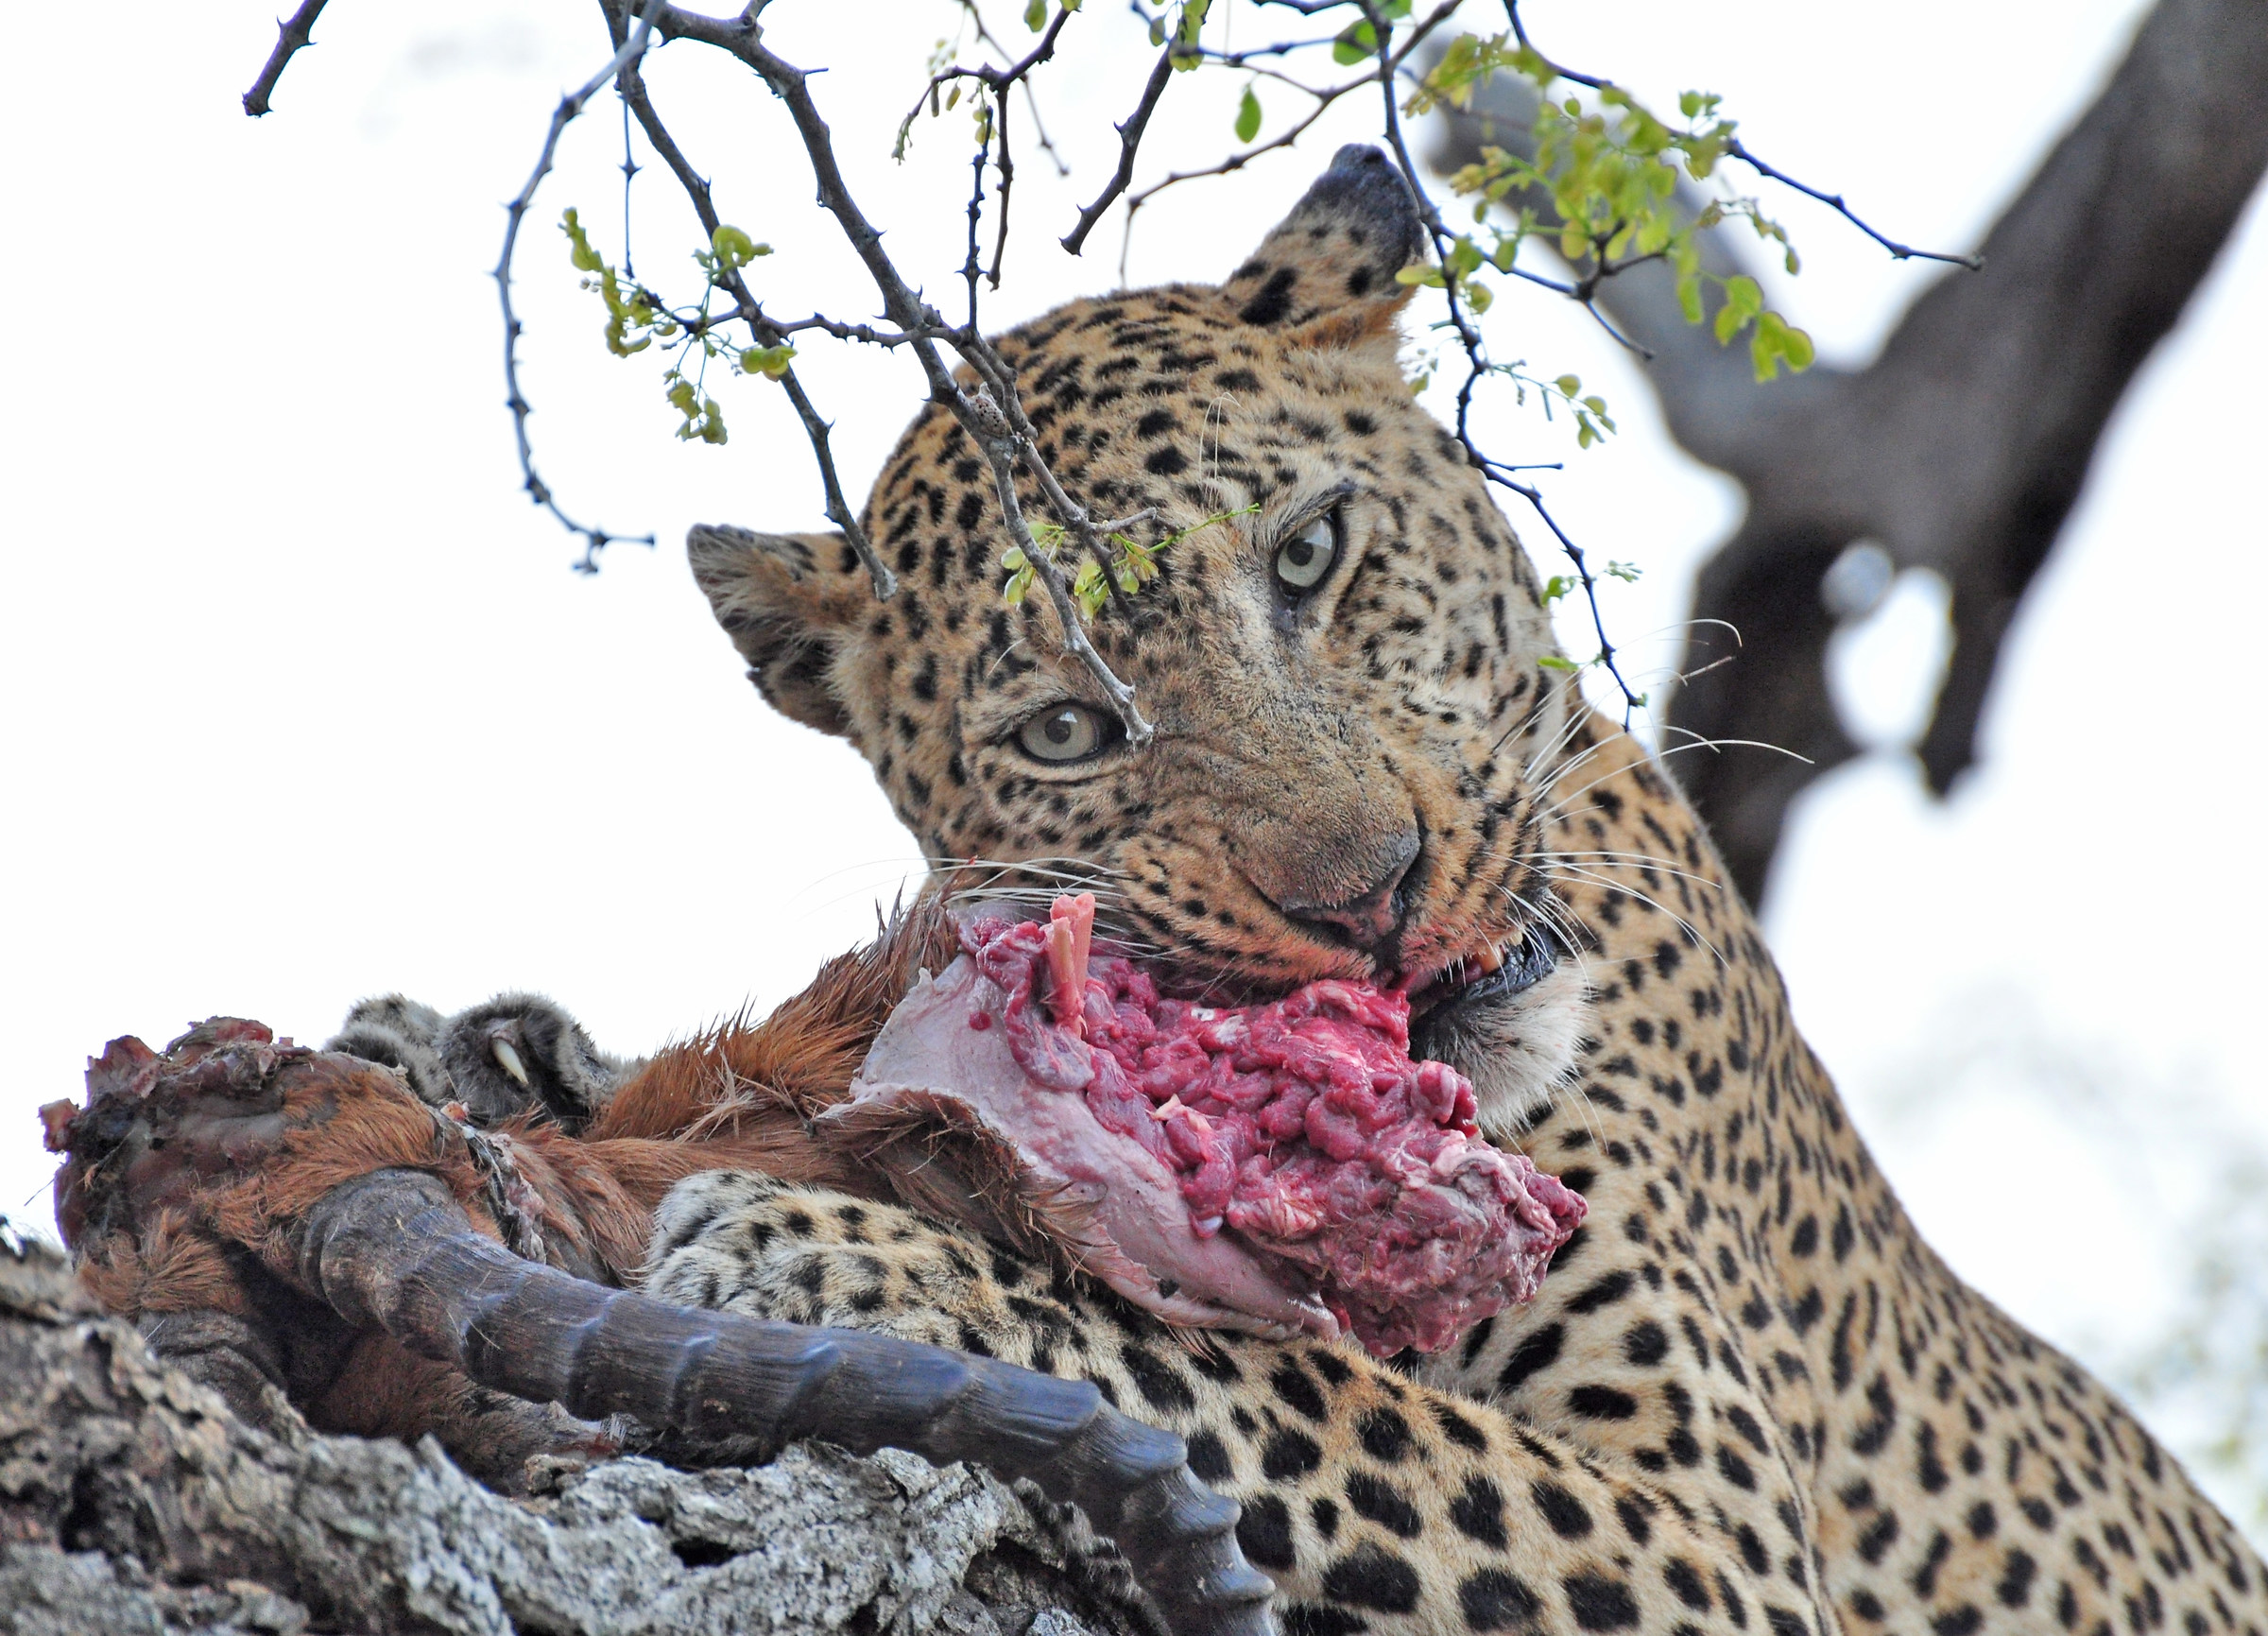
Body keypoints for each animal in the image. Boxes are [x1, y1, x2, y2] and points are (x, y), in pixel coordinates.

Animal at [641, 143, 2263, 1636]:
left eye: (1310, 554)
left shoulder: (1716, 1537)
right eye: (1066, 732)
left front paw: (817, 1249)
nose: (1373, 893)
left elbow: (1272, 1378)